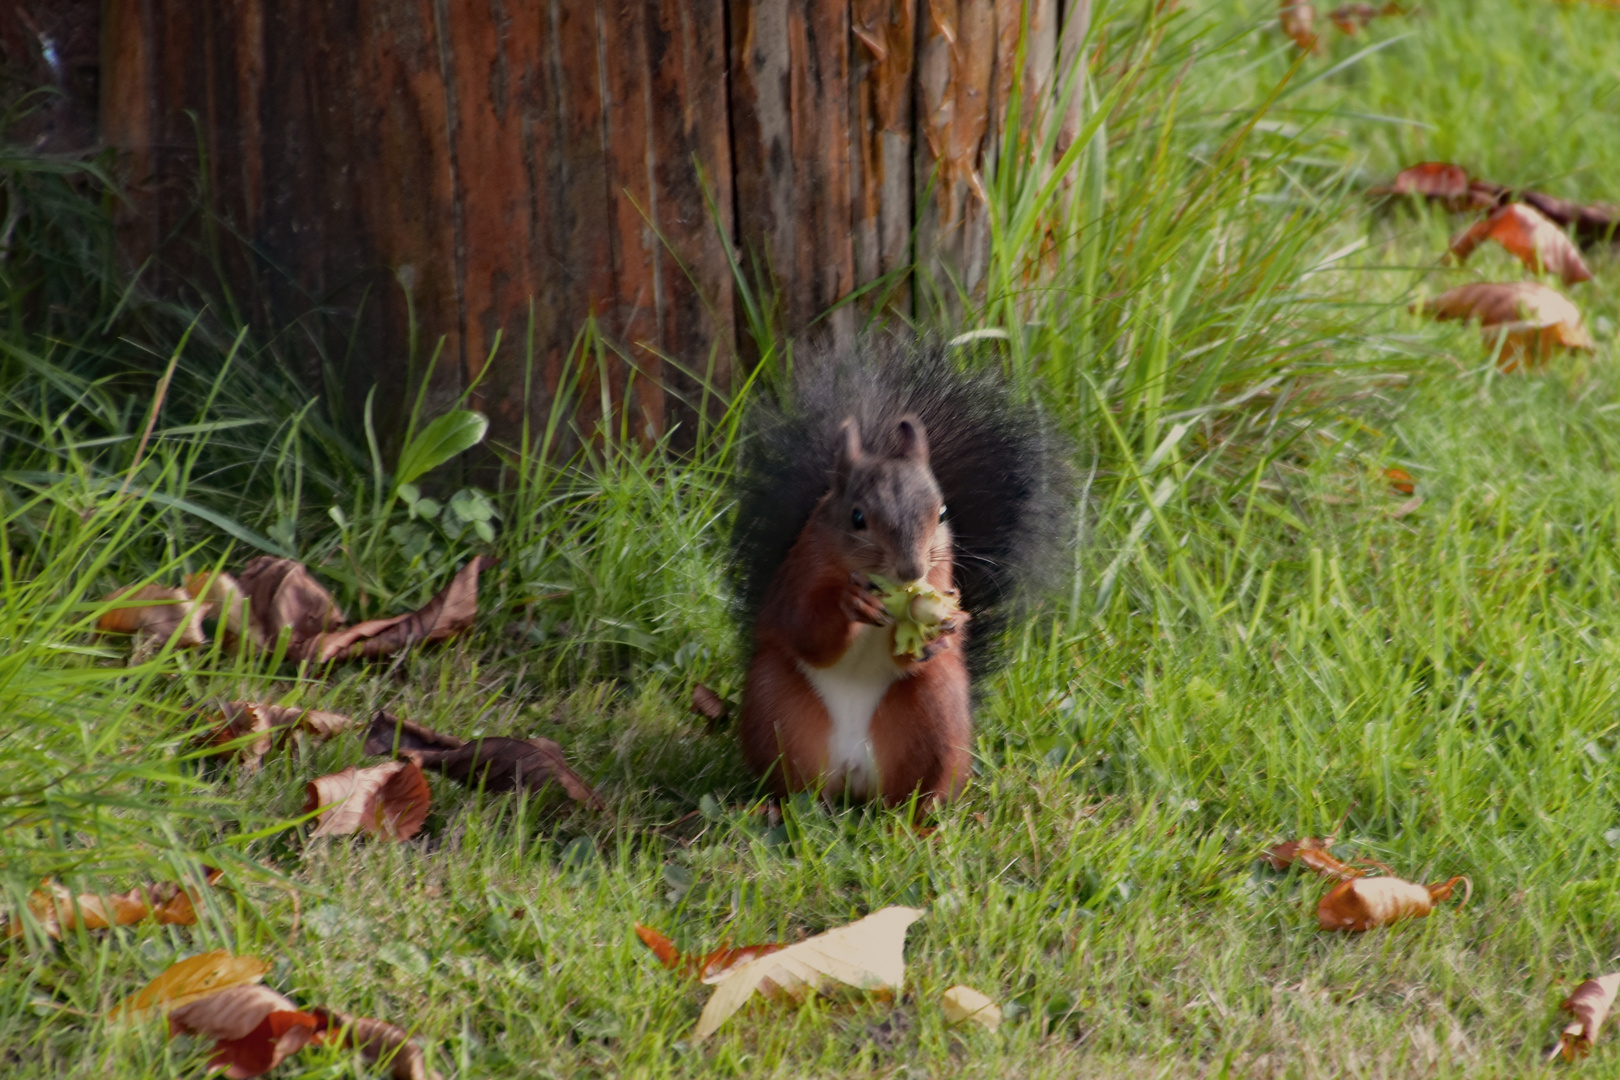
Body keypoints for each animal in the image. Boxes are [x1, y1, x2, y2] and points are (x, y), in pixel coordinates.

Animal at [732, 341, 1062, 806]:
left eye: (941, 513)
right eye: (857, 519)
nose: (911, 569)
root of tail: (853, 776)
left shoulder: (941, 575)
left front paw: (948, 626)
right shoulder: (797, 577)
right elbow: (805, 630)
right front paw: (849, 604)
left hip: (935, 714)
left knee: (917, 788)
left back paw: (920, 817)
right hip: (776, 707)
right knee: (792, 783)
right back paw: (781, 809)